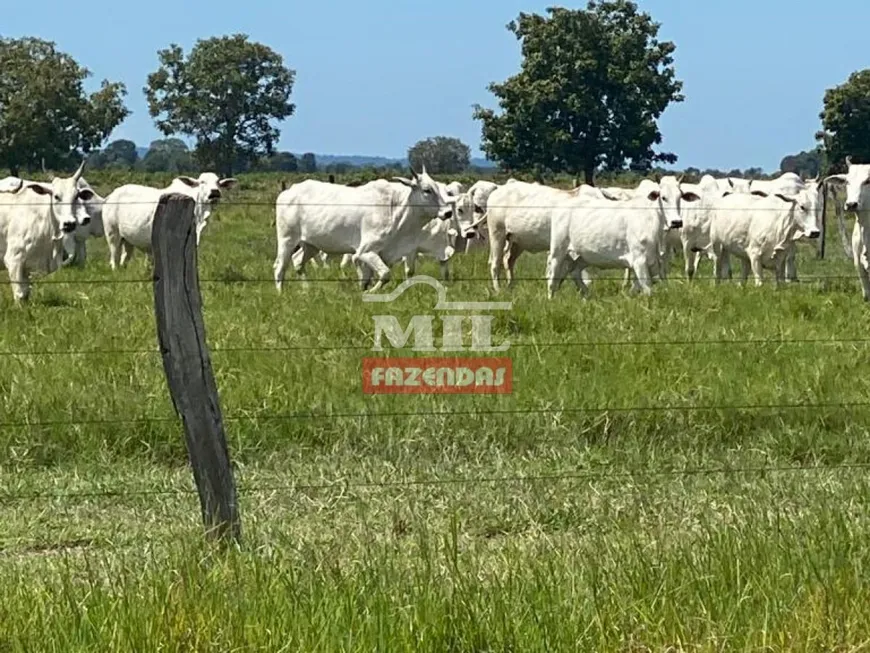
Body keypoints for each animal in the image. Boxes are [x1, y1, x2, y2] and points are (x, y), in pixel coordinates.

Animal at [0, 159, 96, 302]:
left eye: (76, 196)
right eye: (56, 196)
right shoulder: (14, 259)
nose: (69, 224)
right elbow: (20, 294)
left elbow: (26, 292)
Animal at [102, 173, 238, 270]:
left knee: (124, 258)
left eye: (218, 182)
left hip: (127, 239)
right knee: (114, 258)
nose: (215, 192)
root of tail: (110, 195)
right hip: (112, 234)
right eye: (202, 182)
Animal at [276, 167, 456, 292]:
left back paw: (307, 289)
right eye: (426, 190)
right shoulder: (365, 252)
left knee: (298, 261)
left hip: (310, 244)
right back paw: (281, 294)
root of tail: (287, 192)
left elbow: (368, 278)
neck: (396, 209)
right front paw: (370, 292)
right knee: (280, 267)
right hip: (287, 240)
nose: (448, 212)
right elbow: (384, 275)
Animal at [548, 181, 692, 298]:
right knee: (552, 277)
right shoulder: (639, 260)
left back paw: (587, 295)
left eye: (680, 197)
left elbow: (637, 287)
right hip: (558, 250)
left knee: (574, 272)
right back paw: (552, 299)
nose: (677, 222)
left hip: (584, 255)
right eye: (663, 197)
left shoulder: (655, 262)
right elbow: (647, 289)